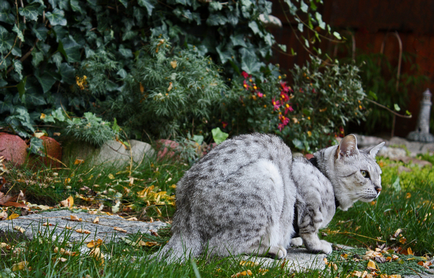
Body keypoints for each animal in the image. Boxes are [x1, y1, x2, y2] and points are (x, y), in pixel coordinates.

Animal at [153, 134, 384, 262]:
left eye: (380, 174)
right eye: (364, 174)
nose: (379, 188)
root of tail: (184, 224)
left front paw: (295, 239)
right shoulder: (308, 201)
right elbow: (310, 231)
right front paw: (318, 245)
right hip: (267, 174)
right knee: (219, 248)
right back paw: (274, 249)